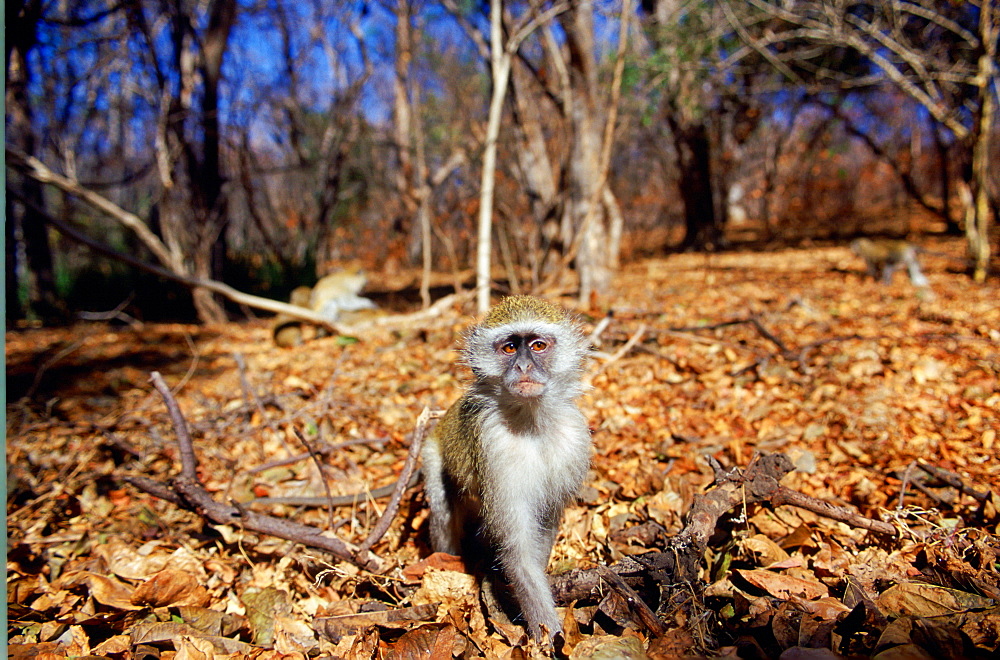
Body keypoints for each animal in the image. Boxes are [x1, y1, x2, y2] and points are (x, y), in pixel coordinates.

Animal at [422, 296, 592, 640]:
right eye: (510, 348)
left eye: (538, 346)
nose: (524, 367)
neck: (532, 421)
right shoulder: (495, 446)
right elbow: (518, 551)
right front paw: (550, 637)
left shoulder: (574, 439)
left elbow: (545, 524)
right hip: (432, 454)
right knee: (443, 509)